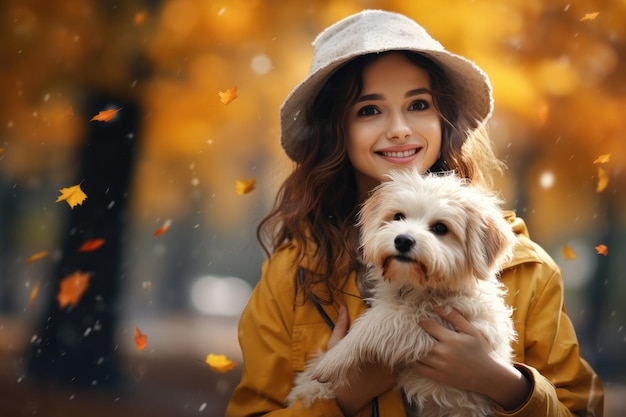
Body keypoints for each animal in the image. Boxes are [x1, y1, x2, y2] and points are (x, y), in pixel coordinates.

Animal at [288, 170, 516, 416]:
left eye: (440, 228)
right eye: (398, 216)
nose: (403, 240)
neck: (417, 287)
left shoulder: (447, 325)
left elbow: (379, 320)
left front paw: (332, 359)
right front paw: (307, 386)